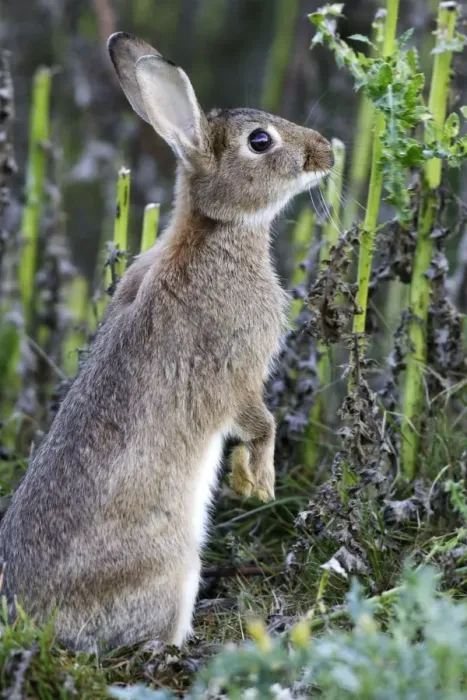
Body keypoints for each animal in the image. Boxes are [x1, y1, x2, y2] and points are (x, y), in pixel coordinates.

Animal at [0, 32, 334, 653]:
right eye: (260, 141)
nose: (325, 152)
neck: (214, 232)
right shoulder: (238, 367)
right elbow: (259, 423)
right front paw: (259, 483)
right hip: (173, 570)